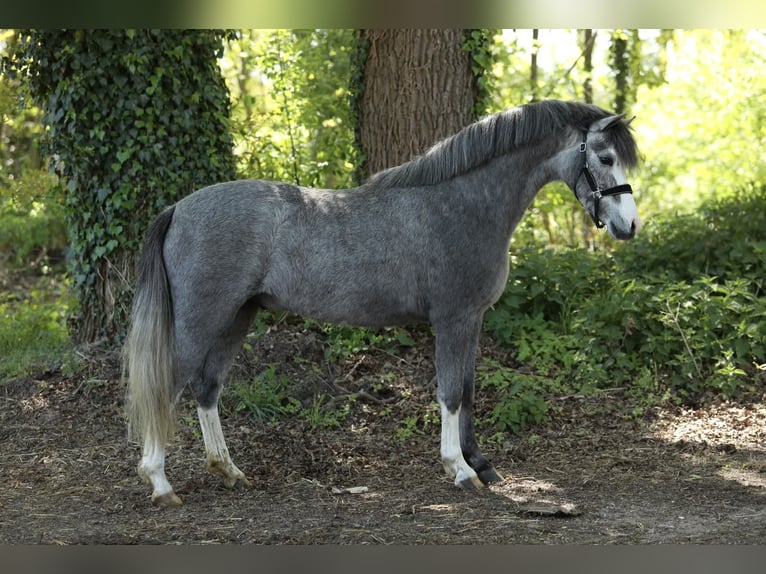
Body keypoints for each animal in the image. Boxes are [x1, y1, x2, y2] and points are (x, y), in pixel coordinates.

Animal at [124, 99, 641, 507]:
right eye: (605, 156)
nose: (630, 225)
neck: (463, 202)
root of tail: (178, 209)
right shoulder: (452, 319)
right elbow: (450, 393)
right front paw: (459, 469)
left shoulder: (473, 320)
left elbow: (469, 390)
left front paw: (482, 465)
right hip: (201, 320)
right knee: (169, 386)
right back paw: (160, 483)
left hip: (237, 317)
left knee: (207, 388)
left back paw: (228, 471)